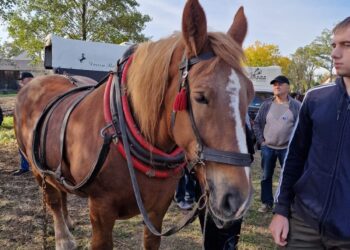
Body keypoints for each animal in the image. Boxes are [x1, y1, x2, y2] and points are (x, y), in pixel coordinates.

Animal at [14, 0, 254, 249]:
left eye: (251, 93)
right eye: (200, 97)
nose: (237, 199)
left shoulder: (157, 210)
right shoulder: (101, 210)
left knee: (60, 191)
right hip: (35, 167)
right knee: (52, 199)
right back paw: (64, 237)